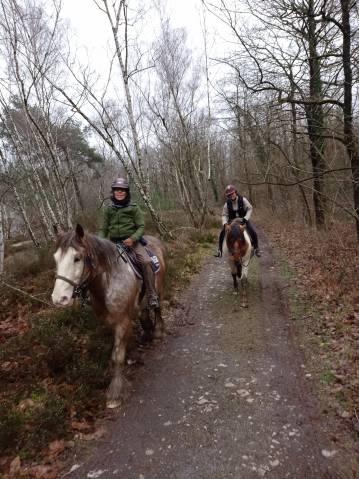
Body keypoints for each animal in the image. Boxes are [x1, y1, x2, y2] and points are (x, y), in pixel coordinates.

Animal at [51, 225, 167, 408]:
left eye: (77, 258)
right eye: (56, 258)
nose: (58, 299)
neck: (109, 281)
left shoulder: (122, 321)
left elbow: (117, 356)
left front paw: (115, 392)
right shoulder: (112, 321)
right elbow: (123, 345)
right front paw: (133, 356)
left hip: (159, 289)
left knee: (158, 310)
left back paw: (157, 333)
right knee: (144, 314)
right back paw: (147, 333)